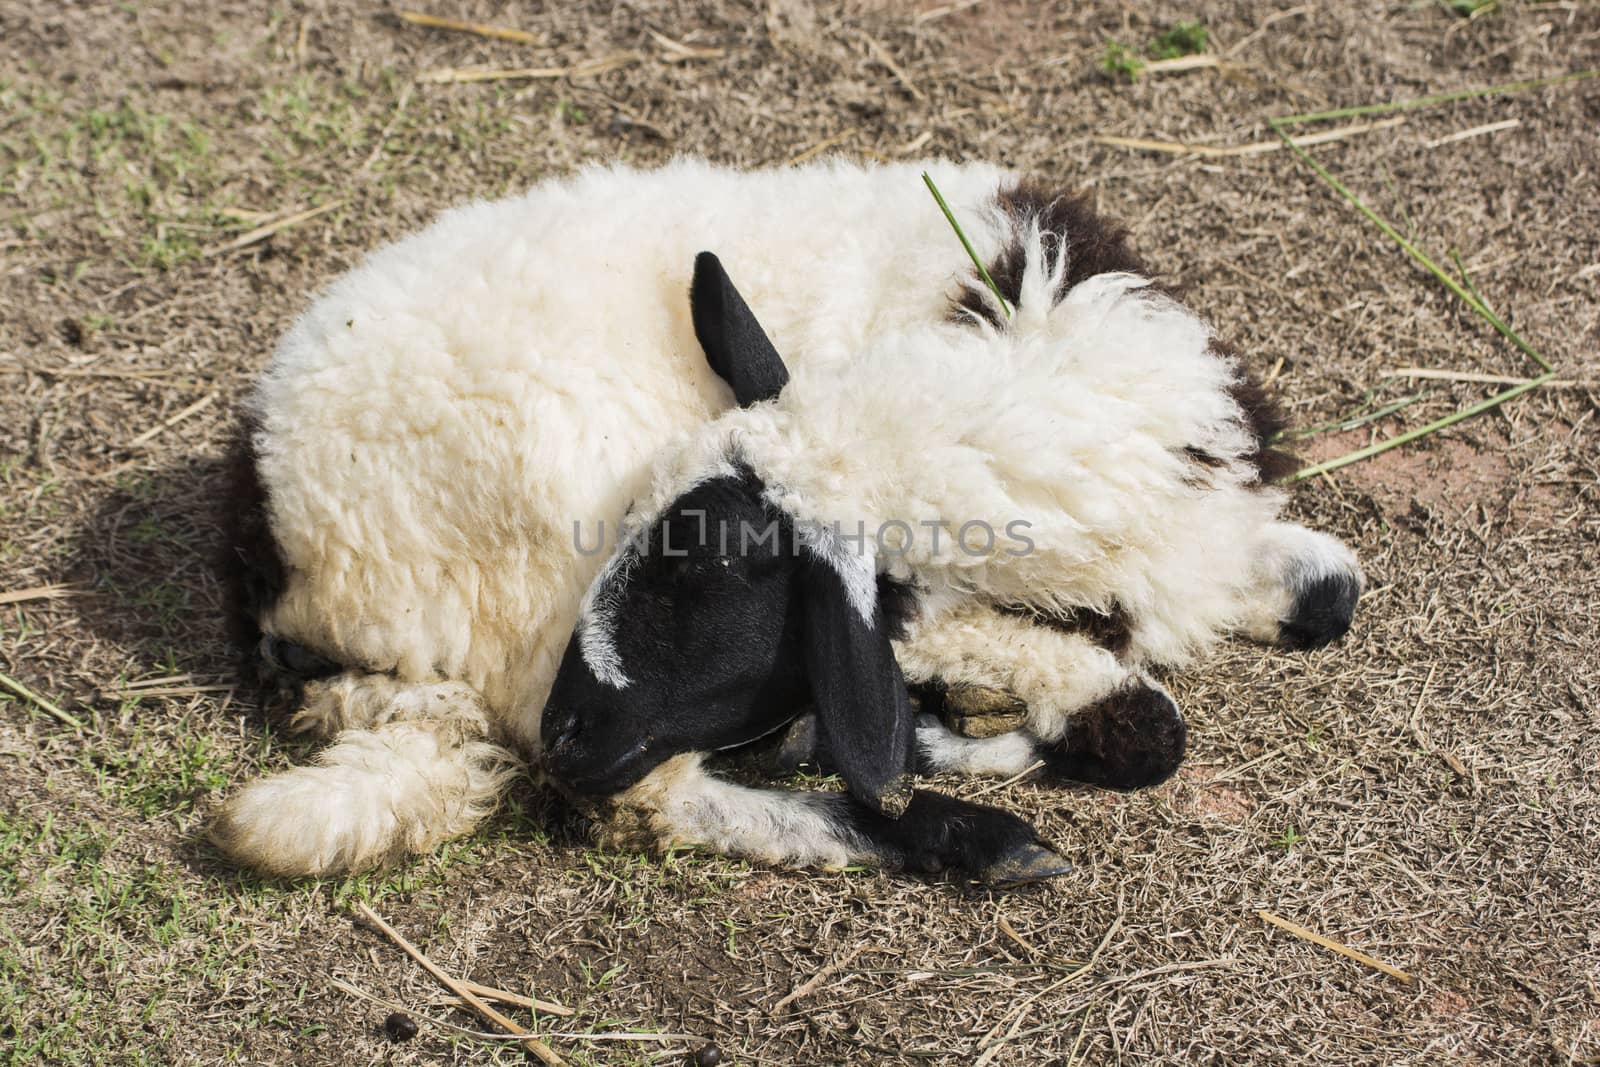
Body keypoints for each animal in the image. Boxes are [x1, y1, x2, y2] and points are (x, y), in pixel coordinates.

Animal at [209, 154, 1363, 883]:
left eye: (697, 579)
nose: (574, 729)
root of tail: (272, 544)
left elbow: (1331, 594)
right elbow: (1146, 723)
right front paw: (1020, 719)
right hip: (532, 596)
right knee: (654, 799)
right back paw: (976, 835)